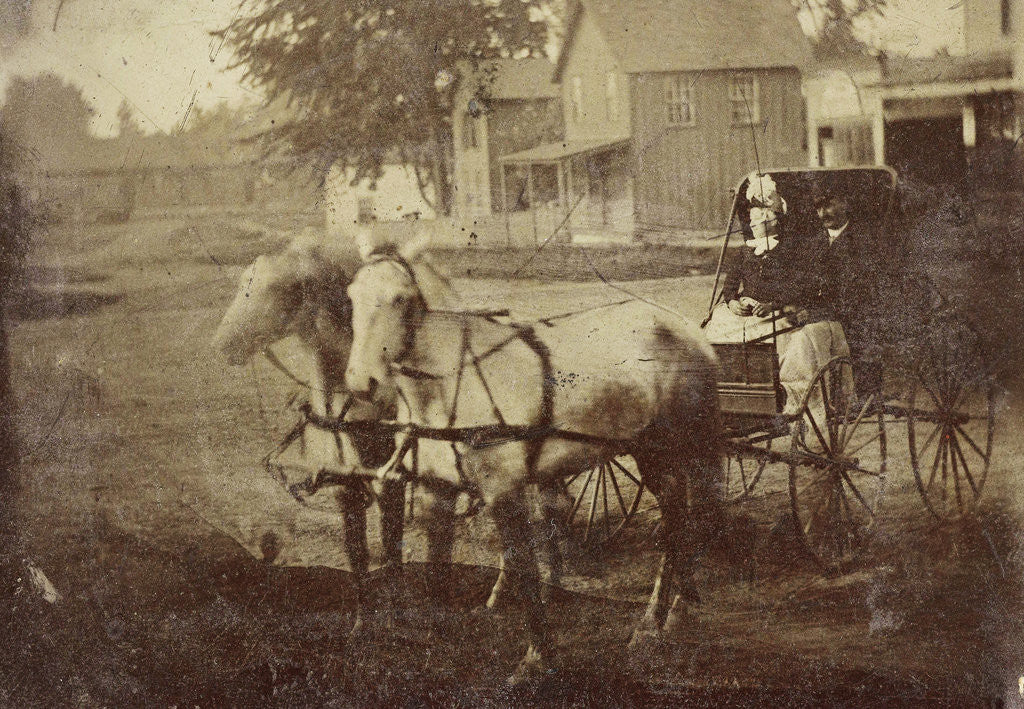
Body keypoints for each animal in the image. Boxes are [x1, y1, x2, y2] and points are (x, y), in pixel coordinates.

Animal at [343, 243, 726, 684]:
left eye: (401, 298)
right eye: (351, 296)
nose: (361, 383)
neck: (454, 380)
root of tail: (689, 330)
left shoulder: (504, 491)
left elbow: (524, 565)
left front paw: (536, 658)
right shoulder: (435, 490)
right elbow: (437, 572)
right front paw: (439, 648)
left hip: (676, 446)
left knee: (689, 519)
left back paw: (664, 618)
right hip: (650, 452)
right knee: (679, 517)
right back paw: (666, 614)